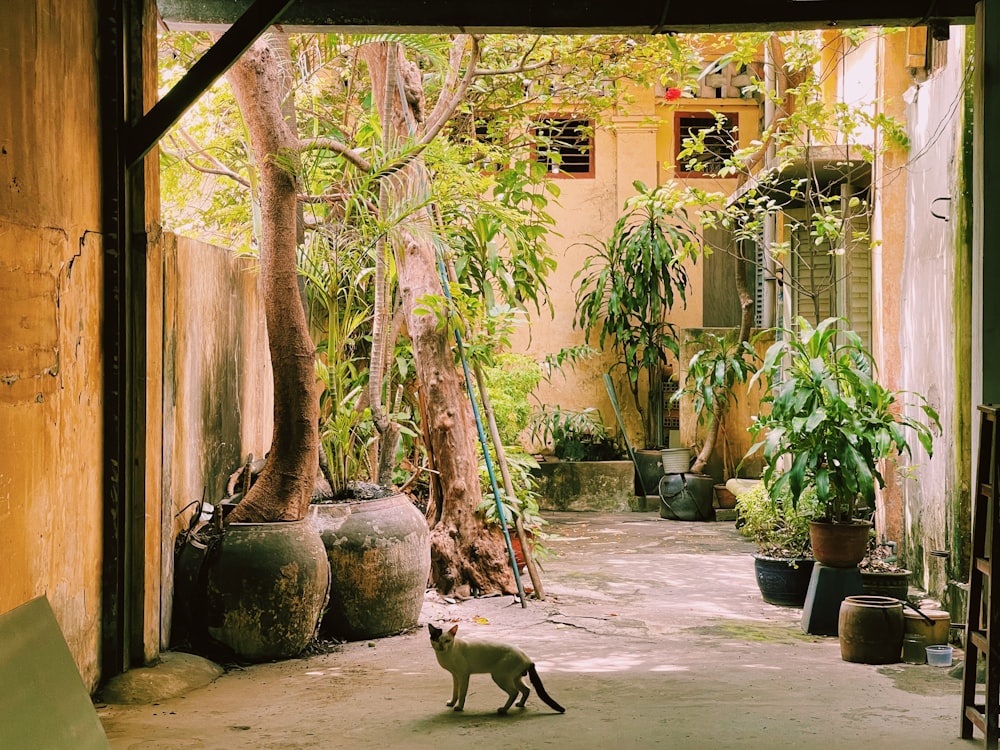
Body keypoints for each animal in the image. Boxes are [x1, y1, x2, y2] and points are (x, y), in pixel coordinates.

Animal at [426, 624, 568, 716]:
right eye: (436, 640)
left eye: (447, 641)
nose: (441, 647)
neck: (446, 654)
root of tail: (528, 659)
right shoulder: (455, 676)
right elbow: (455, 692)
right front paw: (451, 703)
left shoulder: (464, 675)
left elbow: (462, 694)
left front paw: (459, 707)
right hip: (515, 678)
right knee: (526, 690)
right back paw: (520, 705)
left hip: (499, 677)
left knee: (514, 692)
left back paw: (503, 710)